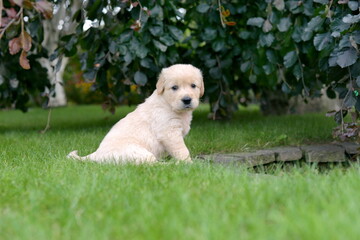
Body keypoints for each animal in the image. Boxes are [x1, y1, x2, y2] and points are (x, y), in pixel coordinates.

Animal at [67, 63, 202, 164]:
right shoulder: (169, 133)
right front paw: (189, 164)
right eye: (174, 87)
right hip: (138, 152)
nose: (187, 100)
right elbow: (182, 150)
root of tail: (96, 155)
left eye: (193, 85)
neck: (168, 104)